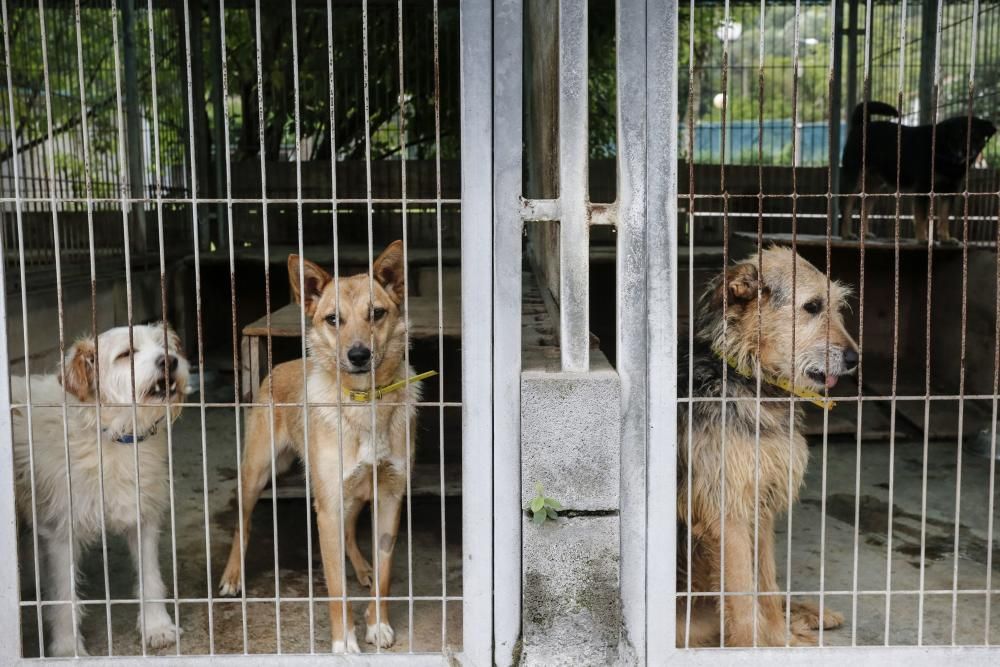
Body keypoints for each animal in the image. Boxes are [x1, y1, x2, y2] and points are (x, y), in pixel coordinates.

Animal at [12, 324, 189, 656]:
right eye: (126, 353)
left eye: (165, 347)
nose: (170, 361)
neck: (113, 436)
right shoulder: (59, 532)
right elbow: (65, 597)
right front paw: (67, 648)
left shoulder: (143, 517)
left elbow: (150, 577)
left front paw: (157, 626)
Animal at [219, 240, 418, 652]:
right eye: (332, 319)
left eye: (376, 314)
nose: (358, 355)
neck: (364, 404)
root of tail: (280, 367)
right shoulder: (327, 505)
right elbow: (336, 588)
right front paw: (345, 645)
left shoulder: (390, 496)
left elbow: (387, 572)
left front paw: (378, 624)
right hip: (257, 473)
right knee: (243, 524)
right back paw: (232, 576)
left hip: (352, 494)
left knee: (349, 533)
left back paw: (362, 567)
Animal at [680, 247, 860, 648]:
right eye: (812, 306)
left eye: (837, 306)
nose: (855, 359)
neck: (749, 377)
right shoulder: (727, 508)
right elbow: (743, 594)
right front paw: (753, 646)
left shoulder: (761, 504)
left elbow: (766, 586)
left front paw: (780, 641)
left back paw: (815, 615)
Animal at [840, 100, 996, 241]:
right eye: (956, 136)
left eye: (975, 135)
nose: (965, 151)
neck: (945, 152)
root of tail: (861, 125)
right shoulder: (923, 188)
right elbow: (922, 216)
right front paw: (923, 239)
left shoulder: (949, 190)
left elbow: (944, 217)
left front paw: (945, 238)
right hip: (854, 178)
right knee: (846, 206)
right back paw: (847, 234)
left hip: (875, 186)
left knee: (864, 208)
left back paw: (864, 234)